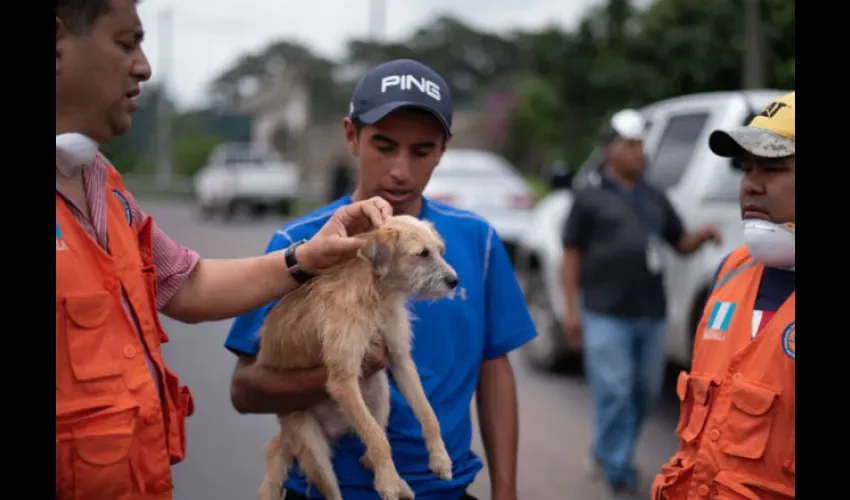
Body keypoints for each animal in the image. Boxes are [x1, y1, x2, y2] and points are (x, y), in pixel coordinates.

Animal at [256, 214, 458, 500]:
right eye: (423, 254)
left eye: (440, 251)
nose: (455, 281)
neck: (378, 292)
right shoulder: (343, 380)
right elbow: (377, 438)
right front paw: (387, 483)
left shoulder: (400, 360)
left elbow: (428, 414)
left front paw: (440, 459)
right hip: (311, 444)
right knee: (338, 484)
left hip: (379, 388)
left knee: (370, 448)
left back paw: (397, 481)